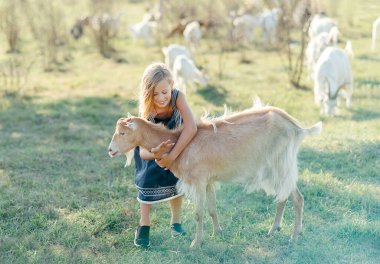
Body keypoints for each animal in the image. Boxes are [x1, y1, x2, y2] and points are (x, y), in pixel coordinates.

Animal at [106, 103, 320, 248]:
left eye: (123, 133)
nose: (110, 150)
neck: (178, 142)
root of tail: (297, 127)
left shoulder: (199, 181)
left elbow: (199, 213)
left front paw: (196, 243)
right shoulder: (208, 181)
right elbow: (212, 209)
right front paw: (217, 233)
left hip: (281, 165)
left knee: (297, 198)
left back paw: (294, 235)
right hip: (274, 169)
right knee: (282, 197)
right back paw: (273, 230)